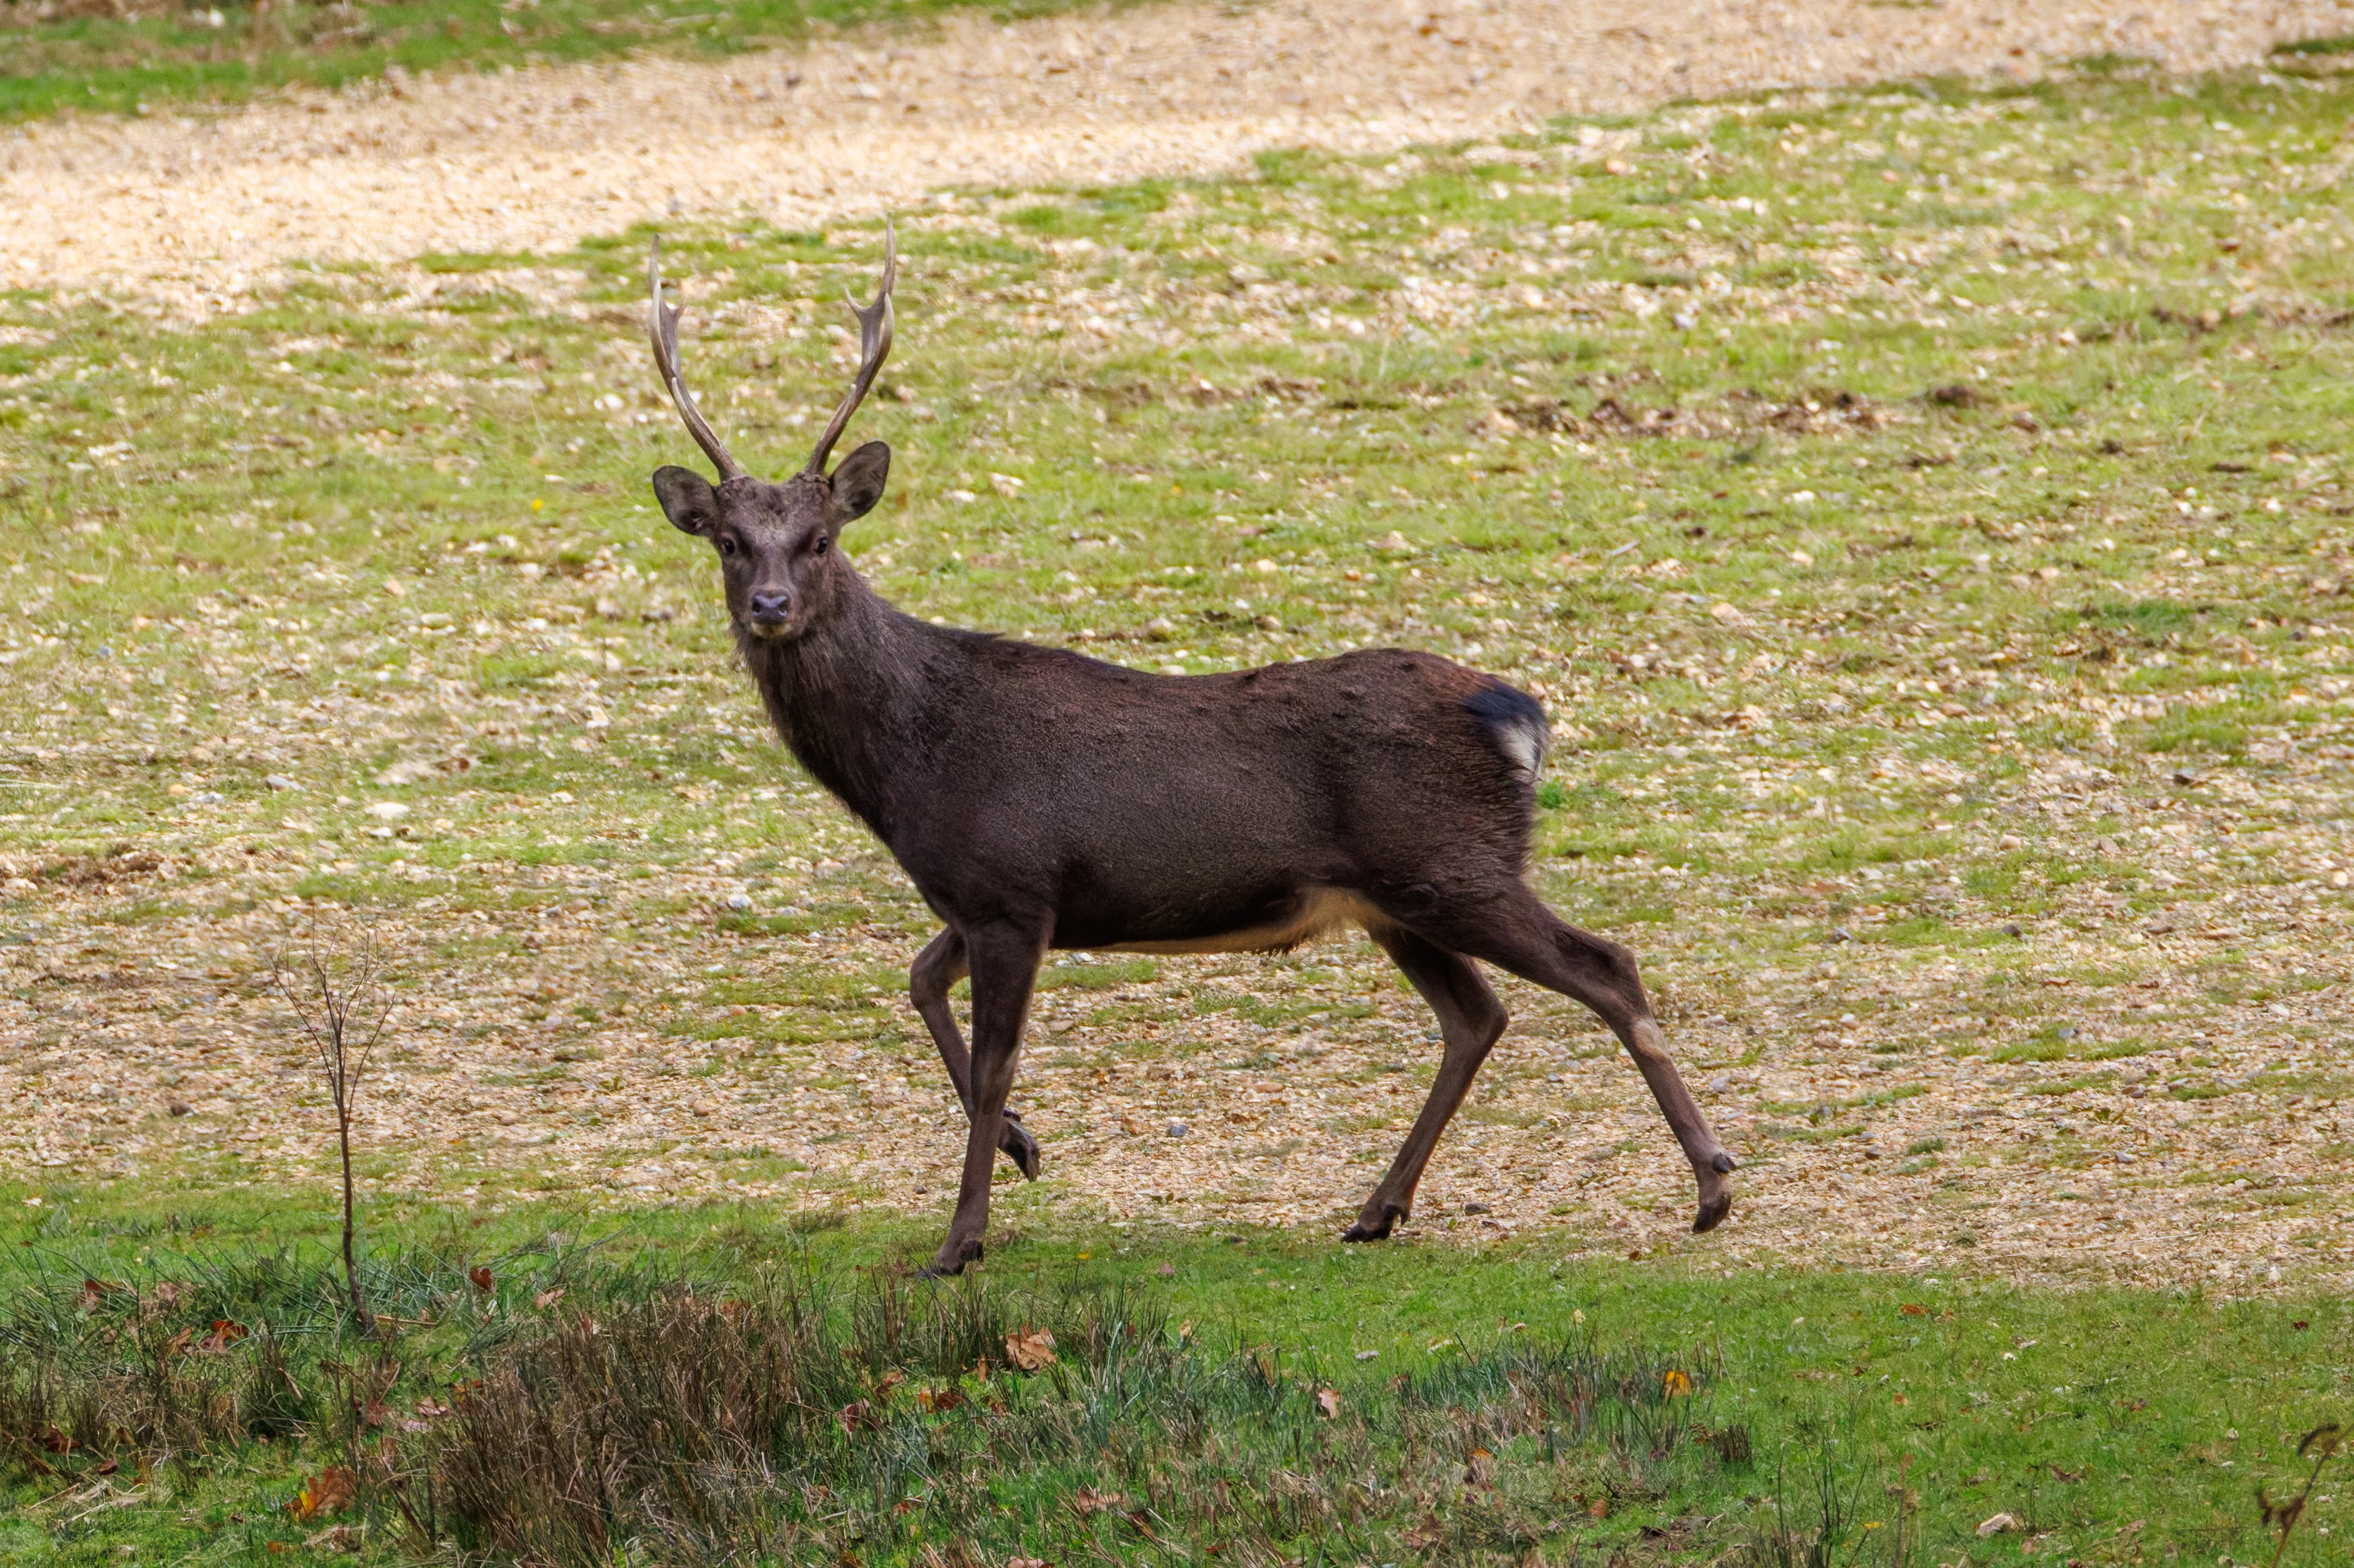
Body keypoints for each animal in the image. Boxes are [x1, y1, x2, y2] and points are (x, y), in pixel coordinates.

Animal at [640, 226, 1737, 1276]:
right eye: (728, 542)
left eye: (820, 539)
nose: (769, 604)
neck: (909, 767)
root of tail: (1517, 712)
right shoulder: (985, 893)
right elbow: (917, 980)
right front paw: (1025, 1150)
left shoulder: (1012, 886)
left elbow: (991, 1063)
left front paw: (960, 1242)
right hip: (1396, 896)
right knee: (1478, 1014)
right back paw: (1376, 1209)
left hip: (1448, 860)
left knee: (1604, 963)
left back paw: (1712, 1183)